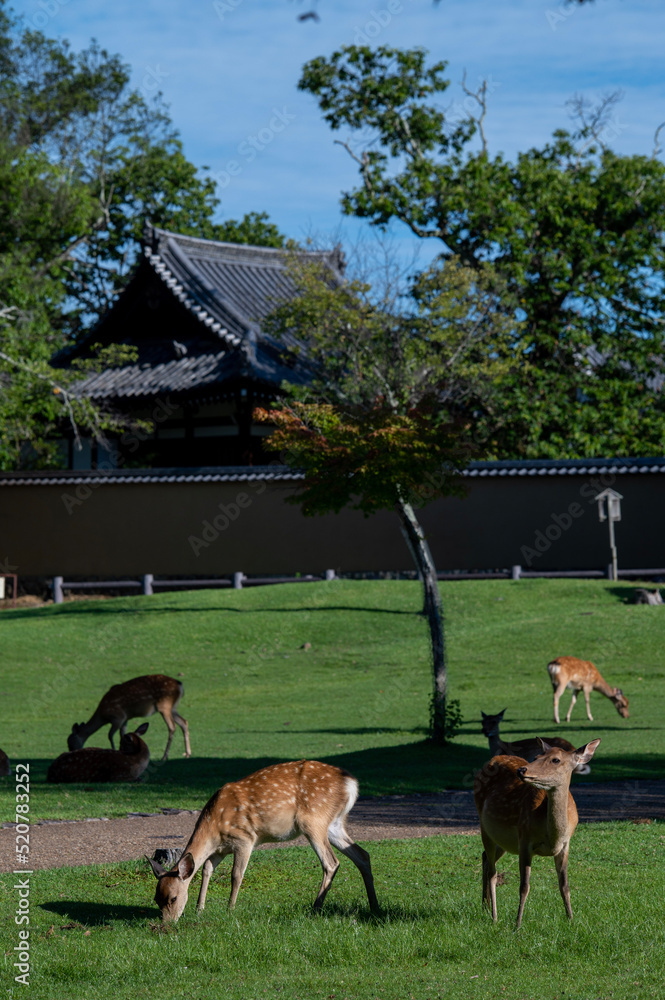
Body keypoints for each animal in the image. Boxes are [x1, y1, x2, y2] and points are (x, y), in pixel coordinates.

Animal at [147, 759, 380, 922]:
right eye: (156, 899)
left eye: (173, 898)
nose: (167, 923)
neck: (214, 828)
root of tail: (351, 784)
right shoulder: (220, 850)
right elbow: (206, 870)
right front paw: (199, 909)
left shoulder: (244, 839)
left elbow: (236, 875)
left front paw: (230, 910)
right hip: (334, 824)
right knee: (363, 855)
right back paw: (374, 906)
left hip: (314, 820)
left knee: (331, 863)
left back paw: (315, 908)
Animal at [474, 738, 600, 928]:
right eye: (536, 757)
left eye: (555, 760)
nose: (521, 770)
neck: (553, 836)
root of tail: (491, 761)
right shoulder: (525, 839)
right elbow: (524, 886)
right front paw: (517, 925)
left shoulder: (566, 845)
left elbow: (564, 885)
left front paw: (571, 919)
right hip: (484, 826)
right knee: (492, 872)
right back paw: (494, 916)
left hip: (502, 839)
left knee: (485, 859)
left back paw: (485, 907)